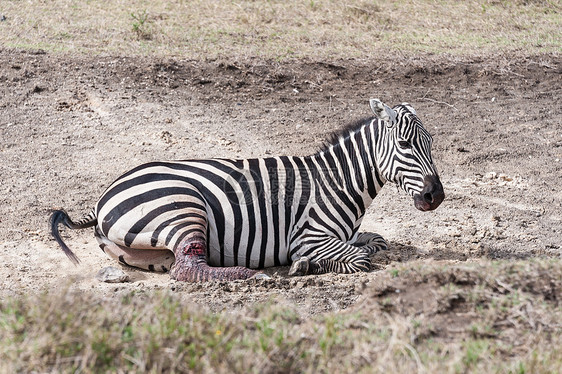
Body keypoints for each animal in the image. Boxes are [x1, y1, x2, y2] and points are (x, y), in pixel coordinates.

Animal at [49, 98, 442, 280]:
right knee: (190, 268)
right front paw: (304, 265)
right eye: (405, 144)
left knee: (180, 264)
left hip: (145, 251)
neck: (337, 182)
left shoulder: (347, 234)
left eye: (430, 143)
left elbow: (377, 242)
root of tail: (103, 198)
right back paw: (251, 275)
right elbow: (359, 258)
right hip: (184, 208)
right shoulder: (308, 236)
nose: (435, 196)